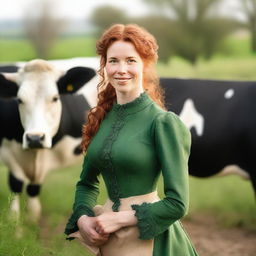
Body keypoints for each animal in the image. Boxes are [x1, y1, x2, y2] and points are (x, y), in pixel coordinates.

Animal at [0, 59, 98, 220]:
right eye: (19, 100)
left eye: (55, 98)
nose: (35, 138)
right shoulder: (9, 153)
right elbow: (16, 187)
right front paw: (17, 225)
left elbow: (33, 194)